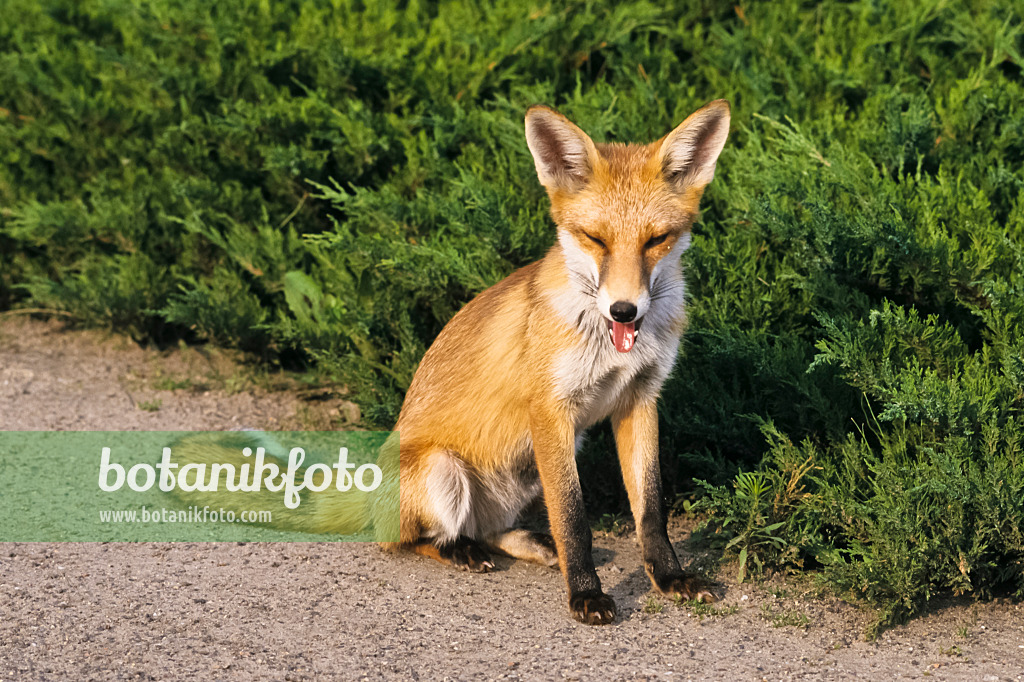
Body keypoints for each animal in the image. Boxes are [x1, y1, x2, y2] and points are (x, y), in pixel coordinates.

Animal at [165, 98, 729, 622]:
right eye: (595, 238)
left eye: (656, 239)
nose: (624, 310)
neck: (608, 345)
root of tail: (369, 490)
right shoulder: (552, 410)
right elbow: (574, 520)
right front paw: (586, 594)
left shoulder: (639, 400)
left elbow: (649, 512)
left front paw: (670, 578)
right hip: (445, 469)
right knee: (408, 540)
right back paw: (461, 552)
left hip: (531, 469)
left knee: (494, 528)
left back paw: (525, 545)